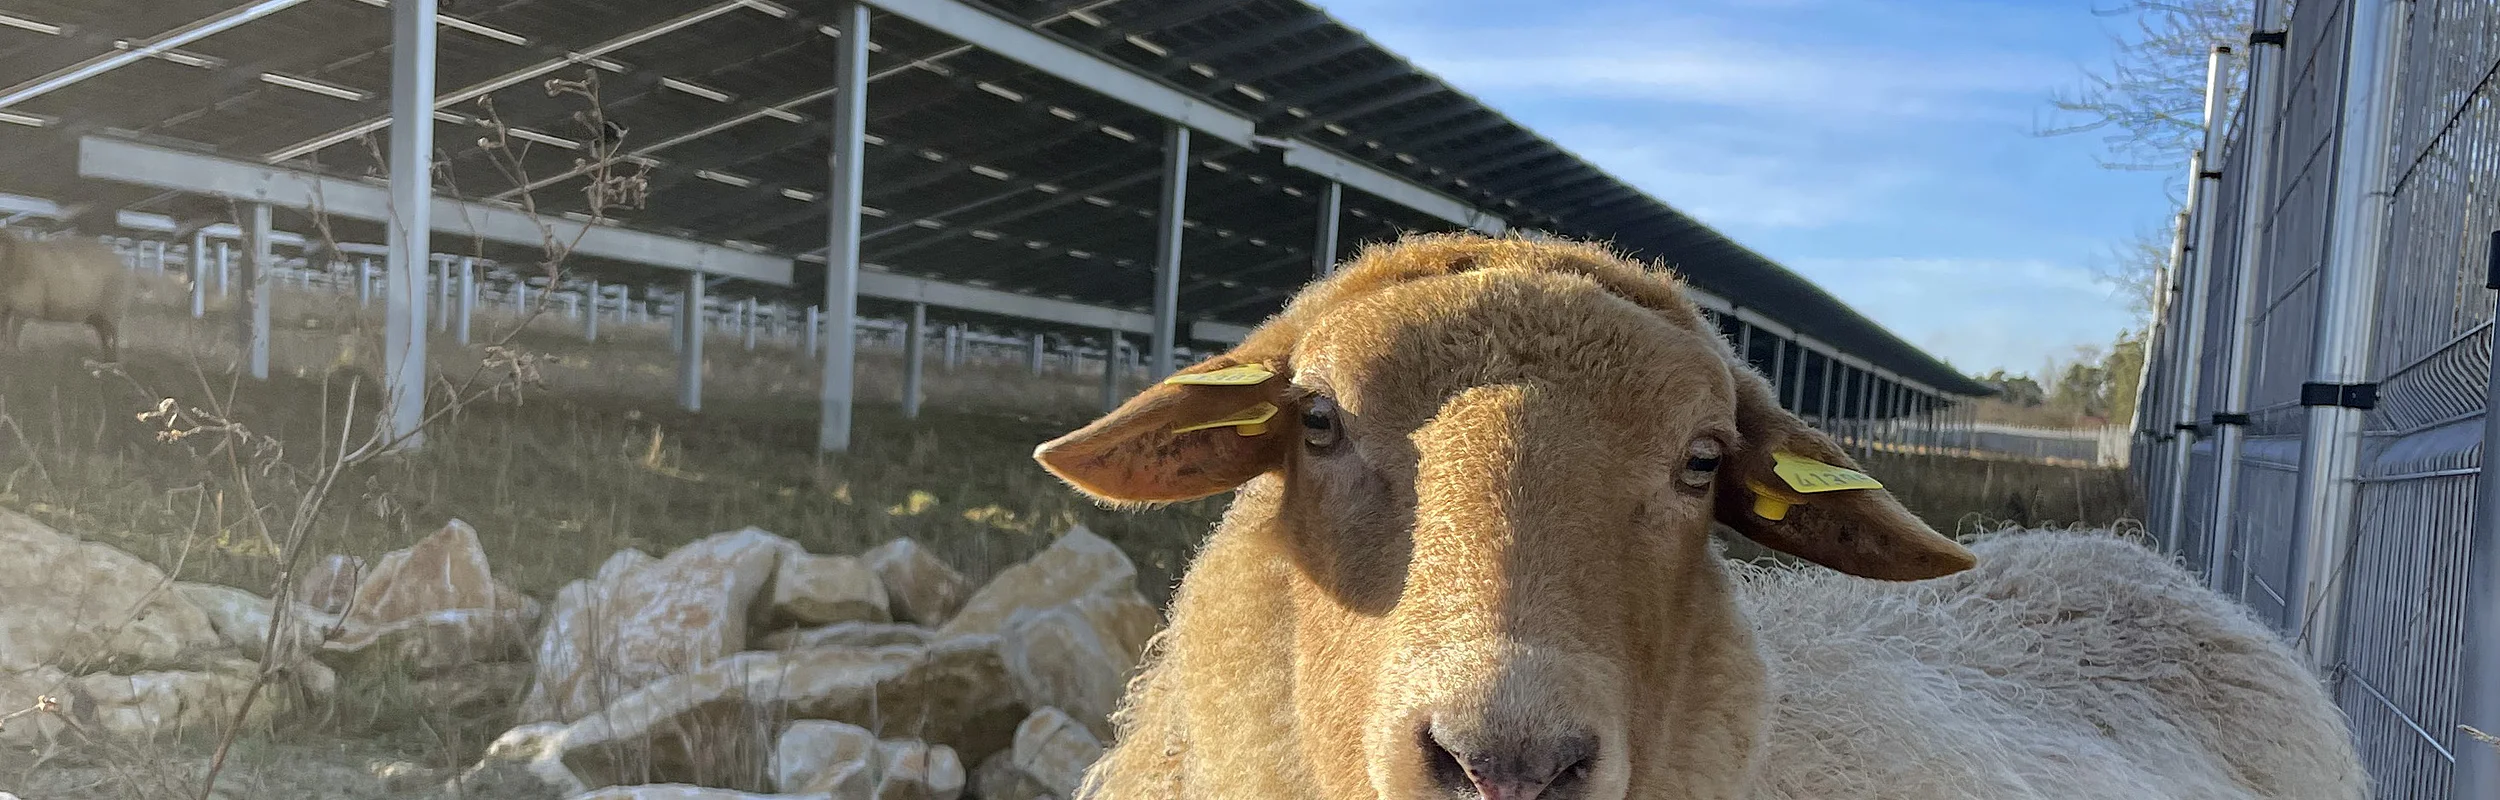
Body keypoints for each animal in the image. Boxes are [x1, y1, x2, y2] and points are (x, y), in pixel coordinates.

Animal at [0, 228, 128, 362]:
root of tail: (118, 261)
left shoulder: (26, 305)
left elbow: (14, 330)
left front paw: (13, 353)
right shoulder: (5, 306)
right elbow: (3, 326)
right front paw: (3, 350)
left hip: (111, 308)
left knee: (113, 335)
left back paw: (115, 361)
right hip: (97, 315)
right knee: (105, 336)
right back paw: (107, 359)